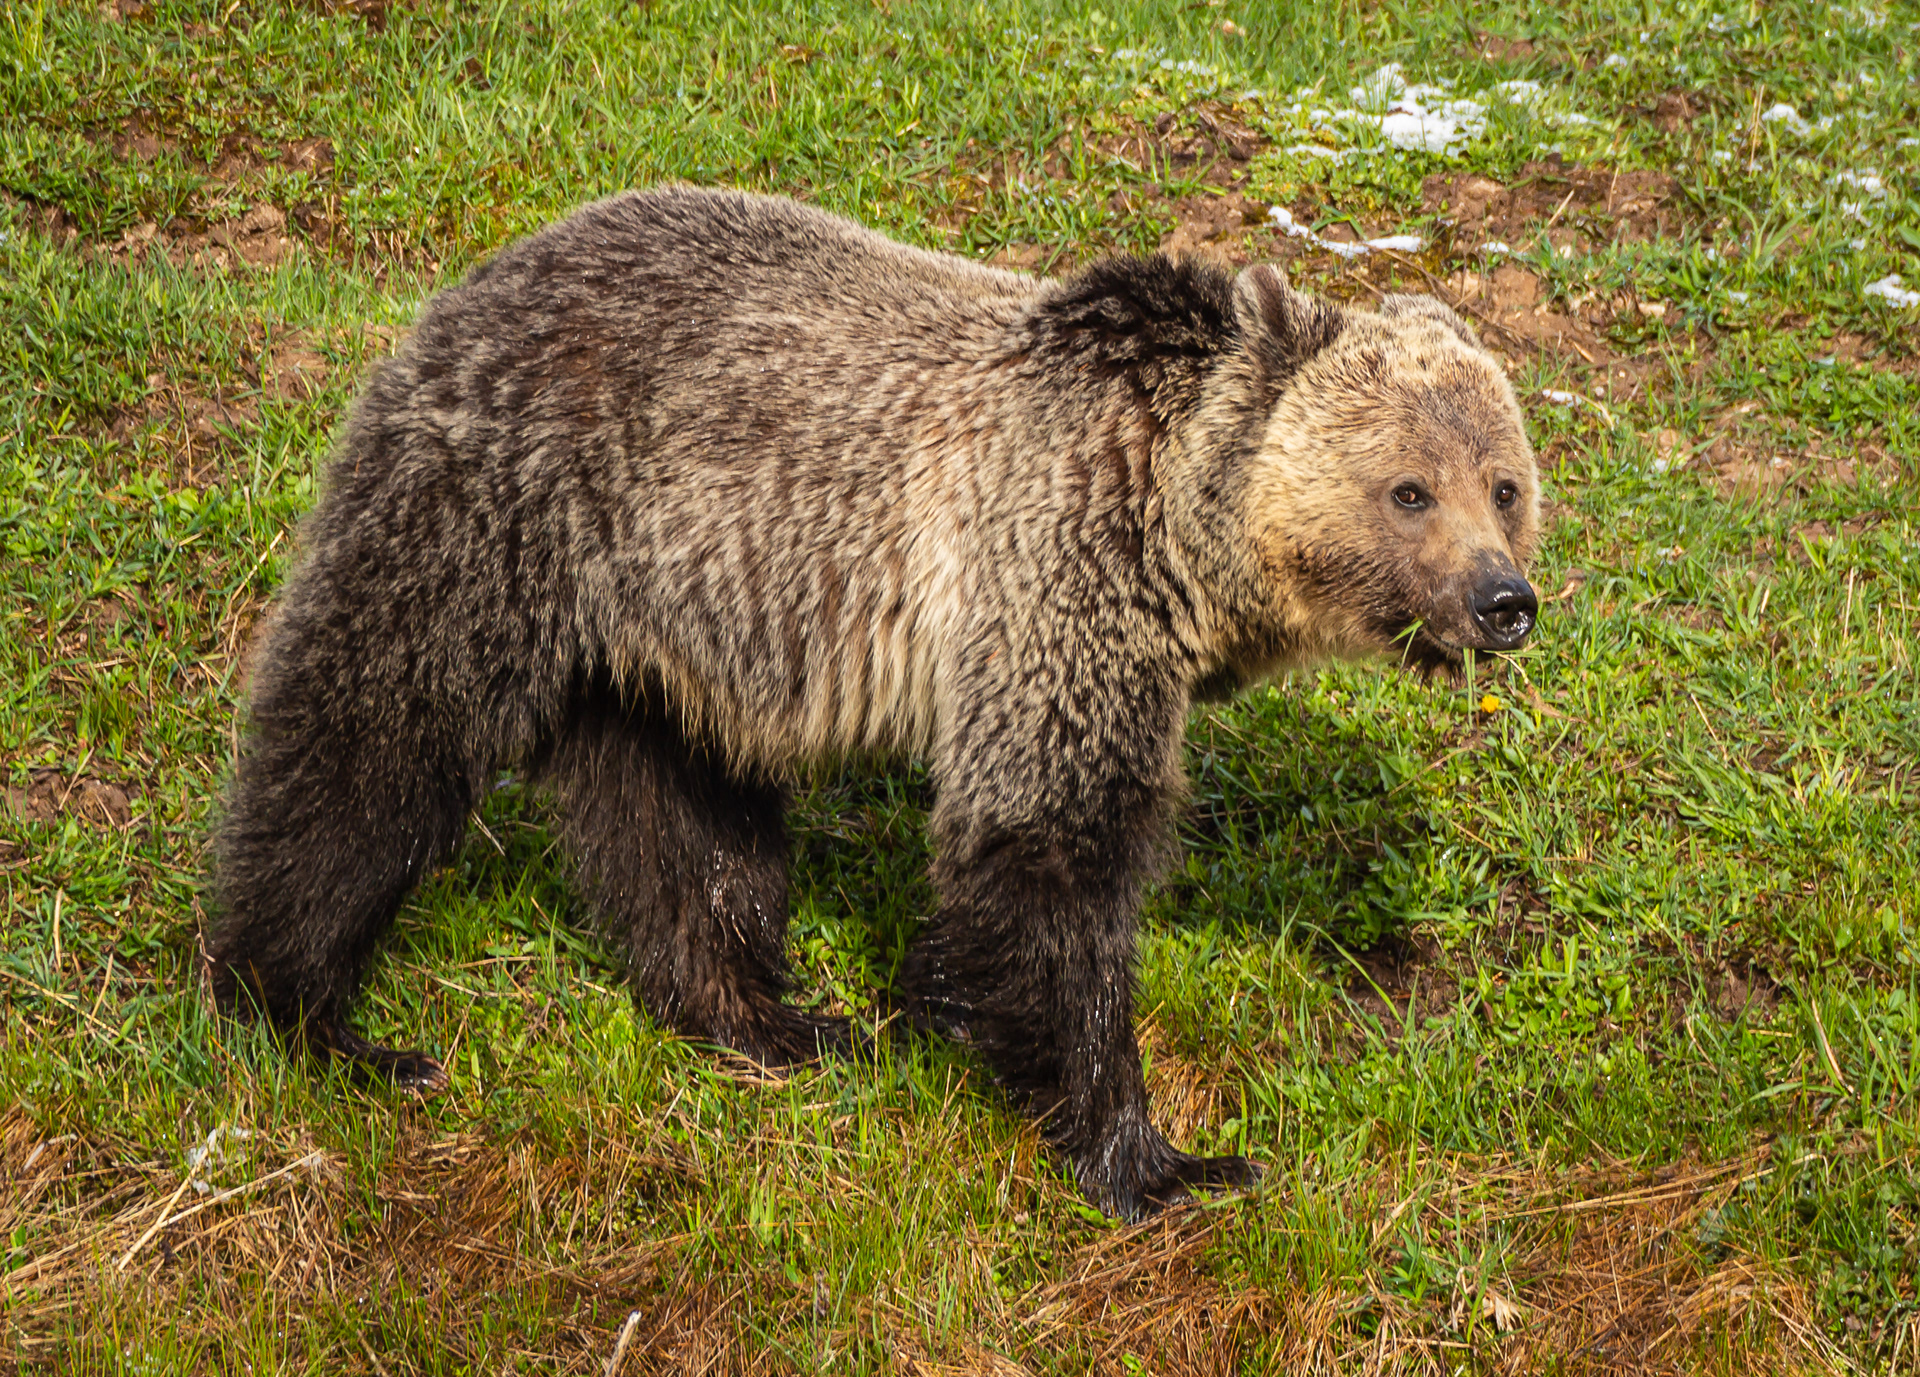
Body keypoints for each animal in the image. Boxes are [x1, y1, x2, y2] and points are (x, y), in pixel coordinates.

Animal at [208, 185, 1540, 1221]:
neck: (1181, 540)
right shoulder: (1053, 575)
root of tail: (491, 268)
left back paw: (769, 1020)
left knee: (682, 820)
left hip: (666, 629)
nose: (1504, 601)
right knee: (376, 728)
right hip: (505, 499)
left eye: (1506, 483)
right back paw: (308, 1008)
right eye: (1410, 489)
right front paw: (1156, 1156)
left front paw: (931, 1013)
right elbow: (1049, 851)